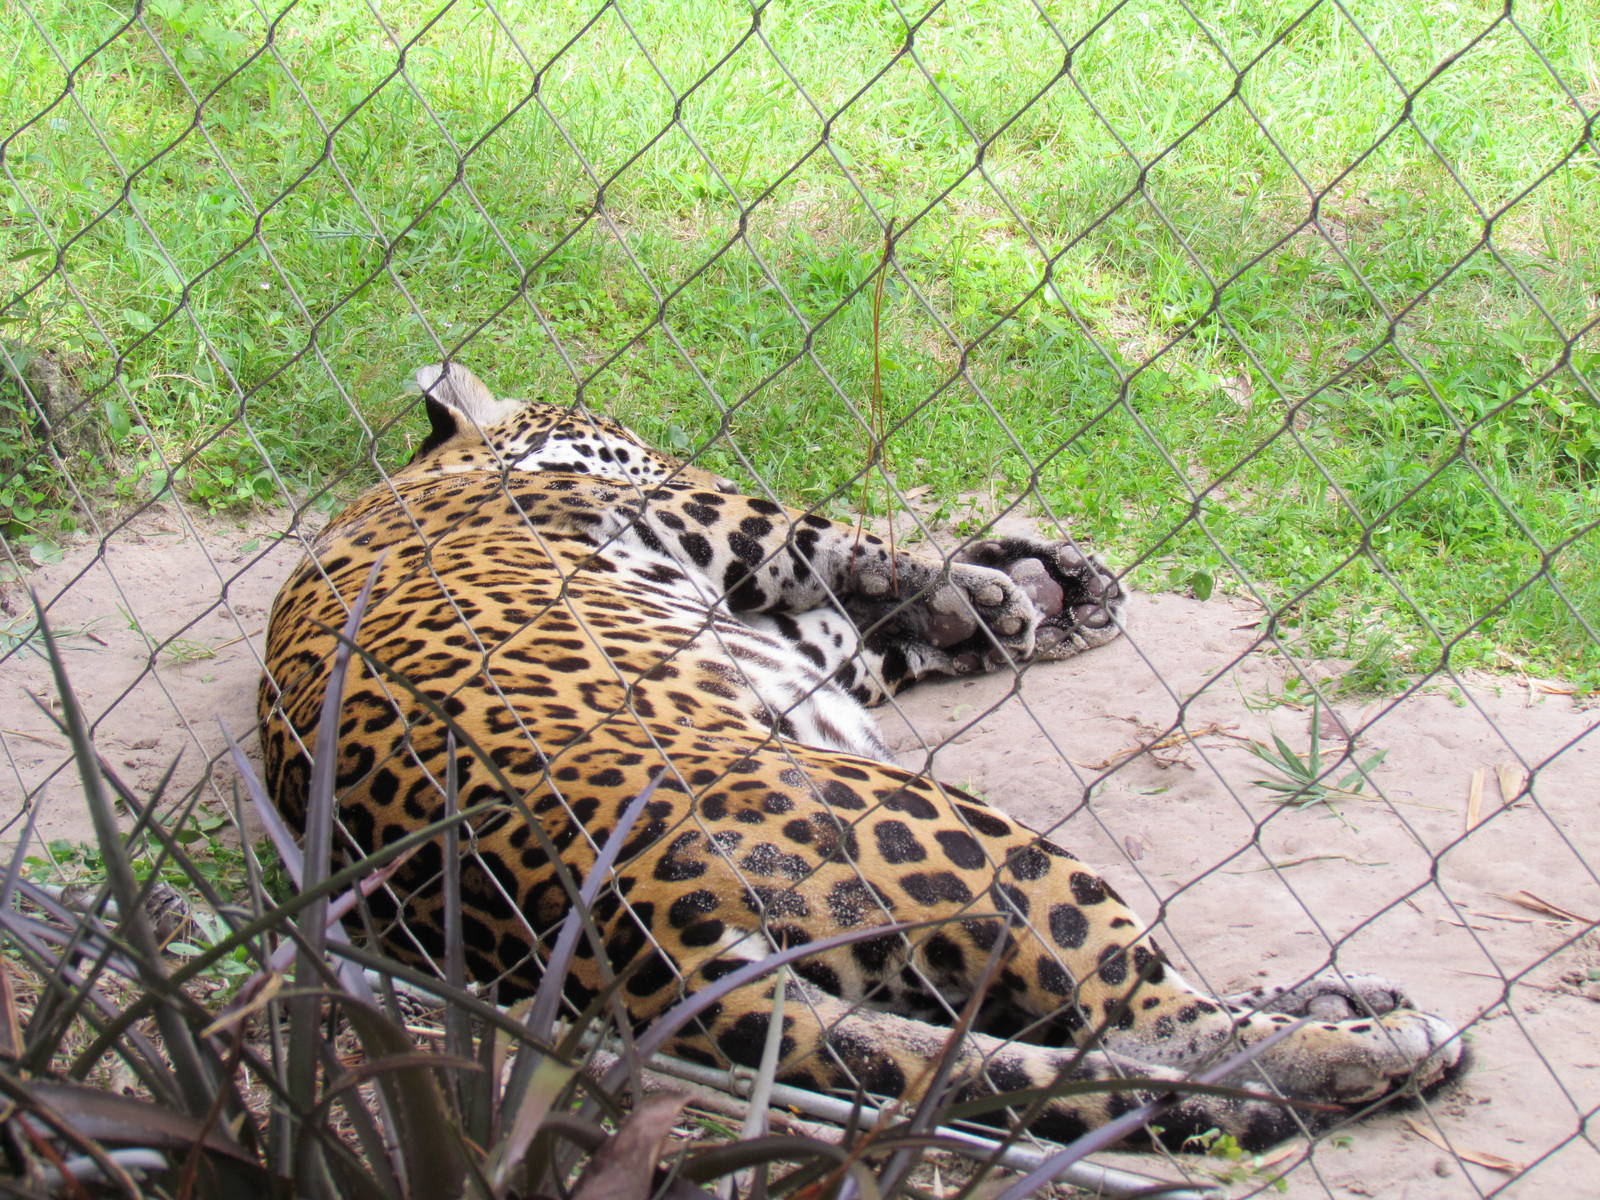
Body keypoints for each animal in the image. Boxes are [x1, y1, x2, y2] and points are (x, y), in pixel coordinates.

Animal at [258, 361, 1463, 1151]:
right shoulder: (713, 520)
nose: (659, 446)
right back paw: (1364, 1050)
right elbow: (834, 535)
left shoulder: (798, 636)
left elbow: (872, 612)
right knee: (1144, 1023)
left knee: (1045, 1049)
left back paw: (1343, 1004)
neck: (429, 476)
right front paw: (995, 591)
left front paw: (1037, 590)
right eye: (618, 433)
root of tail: (635, 943)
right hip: (969, 841)